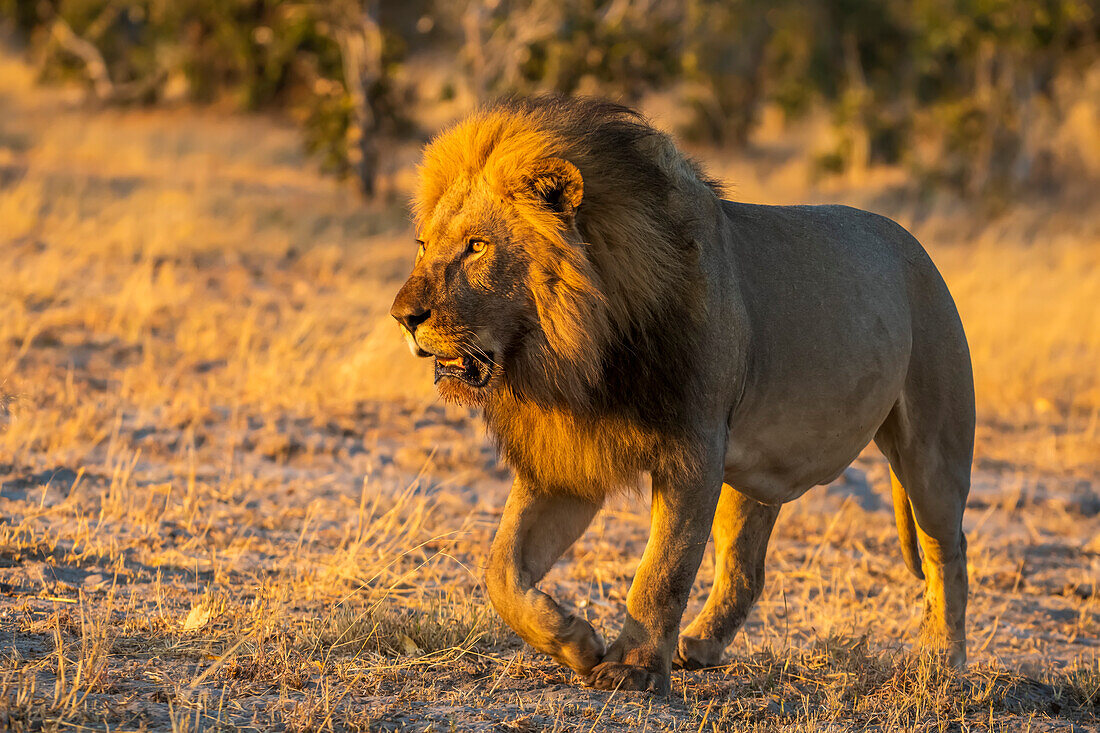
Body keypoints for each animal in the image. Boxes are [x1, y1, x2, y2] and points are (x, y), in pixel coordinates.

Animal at [391, 95, 976, 691]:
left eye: (477, 246)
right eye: (423, 245)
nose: (403, 316)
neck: (577, 354)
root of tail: (915, 246)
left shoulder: (694, 449)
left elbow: (663, 568)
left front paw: (631, 667)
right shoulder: (566, 458)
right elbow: (502, 571)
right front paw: (577, 642)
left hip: (933, 448)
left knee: (946, 551)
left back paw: (940, 659)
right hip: (753, 468)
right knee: (746, 568)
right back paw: (698, 647)